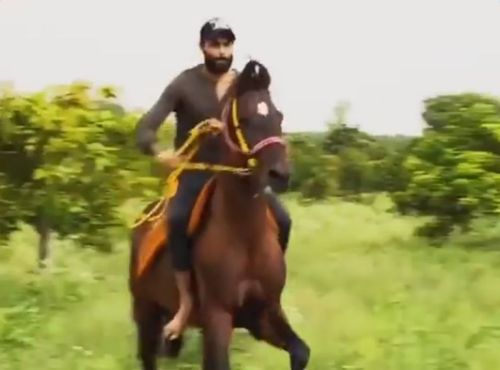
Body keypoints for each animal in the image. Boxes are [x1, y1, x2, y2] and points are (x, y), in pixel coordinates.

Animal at [128, 60, 308, 370]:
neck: (244, 235)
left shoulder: (264, 314)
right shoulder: (218, 316)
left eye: (279, 115)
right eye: (245, 118)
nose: (280, 174)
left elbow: (300, 352)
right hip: (145, 311)